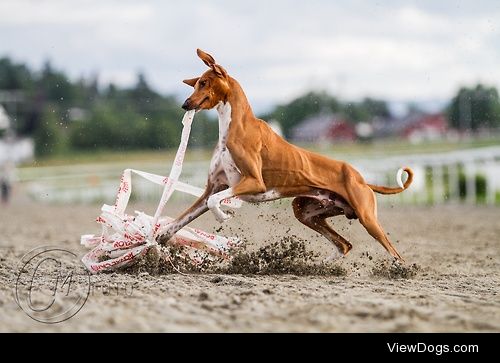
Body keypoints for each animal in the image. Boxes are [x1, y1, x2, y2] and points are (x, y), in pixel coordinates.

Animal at [160, 49, 414, 264]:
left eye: (203, 83)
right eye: (195, 84)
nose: (185, 104)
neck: (233, 127)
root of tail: (361, 179)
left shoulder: (254, 182)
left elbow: (215, 202)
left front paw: (223, 216)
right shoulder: (212, 188)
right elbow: (180, 220)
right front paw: (159, 237)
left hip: (367, 219)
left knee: (394, 253)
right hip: (305, 212)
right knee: (345, 245)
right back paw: (318, 267)